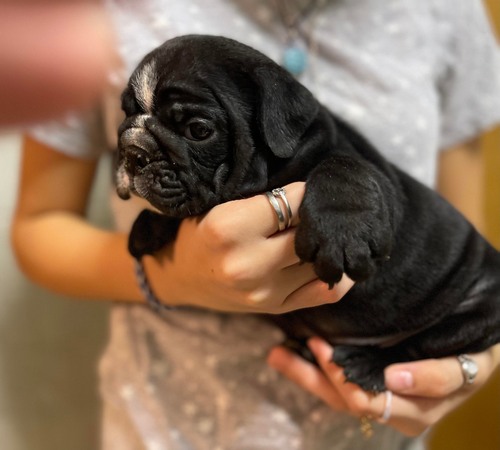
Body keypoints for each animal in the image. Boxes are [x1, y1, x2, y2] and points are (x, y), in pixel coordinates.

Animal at [115, 35, 500, 392]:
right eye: (125, 114)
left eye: (198, 129)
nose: (133, 151)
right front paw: (148, 226)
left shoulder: (382, 186)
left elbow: (343, 166)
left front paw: (341, 235)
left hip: (478, 311)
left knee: (417, 346)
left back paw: (369, 363)